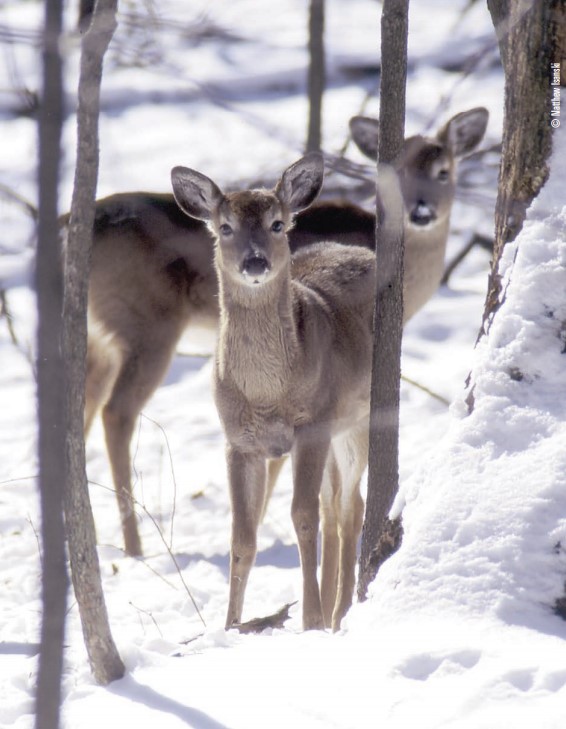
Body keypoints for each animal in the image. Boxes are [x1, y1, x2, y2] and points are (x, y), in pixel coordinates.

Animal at [83, 105, 488, 556]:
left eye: (443, 171)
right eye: (394, 174)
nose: (421, 211)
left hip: (101, 337)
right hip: (146, 323)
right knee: (116, 412)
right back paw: (133, 545)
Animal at [172, 155, 378, 632]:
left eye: (278, 224)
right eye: (224, 226)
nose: (255, 262)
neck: (268, 394)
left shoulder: (312, 425)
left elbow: (301, 517)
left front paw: (311, 620)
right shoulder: (238, 442)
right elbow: (243, 537)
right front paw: (230, 626)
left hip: (360, 416)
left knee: (349, 508)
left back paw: (338, 614)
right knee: (334, 506)